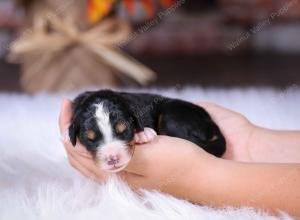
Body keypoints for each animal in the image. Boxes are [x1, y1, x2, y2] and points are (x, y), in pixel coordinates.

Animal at [69, 89, 225, 172]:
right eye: (90, 139)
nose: (112, 158)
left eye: (124, 130)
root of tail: (213, 125)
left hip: (171, 117)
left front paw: (143, 134)